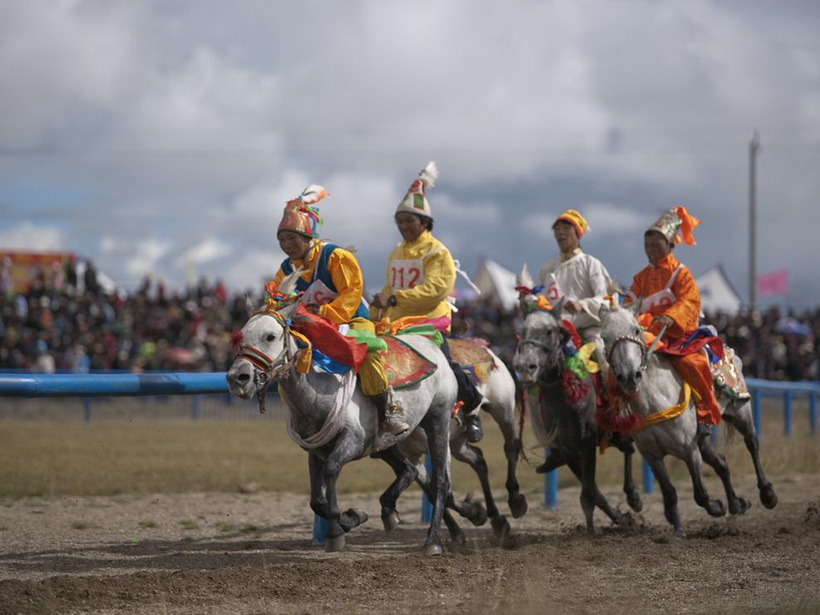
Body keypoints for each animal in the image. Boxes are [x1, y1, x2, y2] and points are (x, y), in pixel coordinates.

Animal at [512, 304, 636, 536]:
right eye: (522, 331)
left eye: (549, 331)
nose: (525, 366)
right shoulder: (568, 449)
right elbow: (593, 491)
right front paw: (621, 519)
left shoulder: (587, 441)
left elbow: (588, 494)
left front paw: (591, 532)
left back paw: (633, 495)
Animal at [596, 306, 776, 536]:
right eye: (604, 337)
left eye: (636, 330)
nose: (629, 376)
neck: (654, 403)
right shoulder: (652, 456)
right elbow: (670, 491)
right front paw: (678, 529)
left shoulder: (689, 450)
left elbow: (700, 494)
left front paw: (716, 507)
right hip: (703, 438)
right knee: (721, 463)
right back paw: (737, 504)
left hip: (740, 411)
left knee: (752, 443)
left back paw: (767, 494)